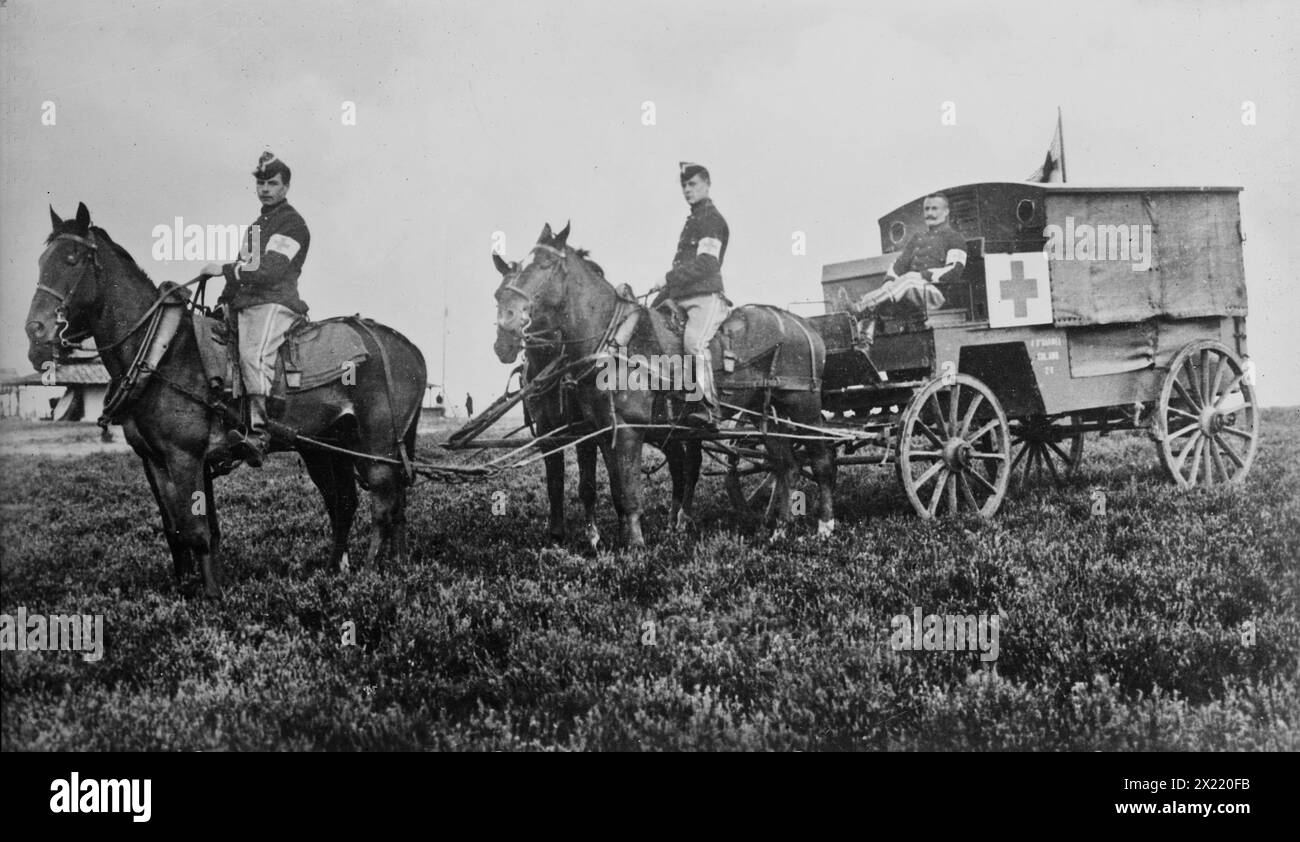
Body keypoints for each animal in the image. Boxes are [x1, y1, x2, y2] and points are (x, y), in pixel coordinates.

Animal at [25, 205, 423, 597]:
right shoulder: (155, 460)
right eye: (42, 260)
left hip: (377, 447)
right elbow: (179, 530)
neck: (162, 351)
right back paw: (373, 567)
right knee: (353, 504)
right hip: (326, 448)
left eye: (73, 258)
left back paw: (369, 573)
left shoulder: (184, 457)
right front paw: (187, 590)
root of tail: (406, 345)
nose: (35, 330)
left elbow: (197, 531)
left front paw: (213, 599)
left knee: (383, 504)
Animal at [491, 223, 837, 545]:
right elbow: (614, 489)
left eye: (545, 264)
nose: (507, 323)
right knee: (785, 466)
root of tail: (804, 325)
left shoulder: (626, 430)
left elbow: (628, 493)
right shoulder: (600, 430)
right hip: (765, 413)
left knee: (820, 460)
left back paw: (824, 526)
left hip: (803, 406)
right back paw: (779, 529)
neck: (612, 339)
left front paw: (634, 544)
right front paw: (618, 539)